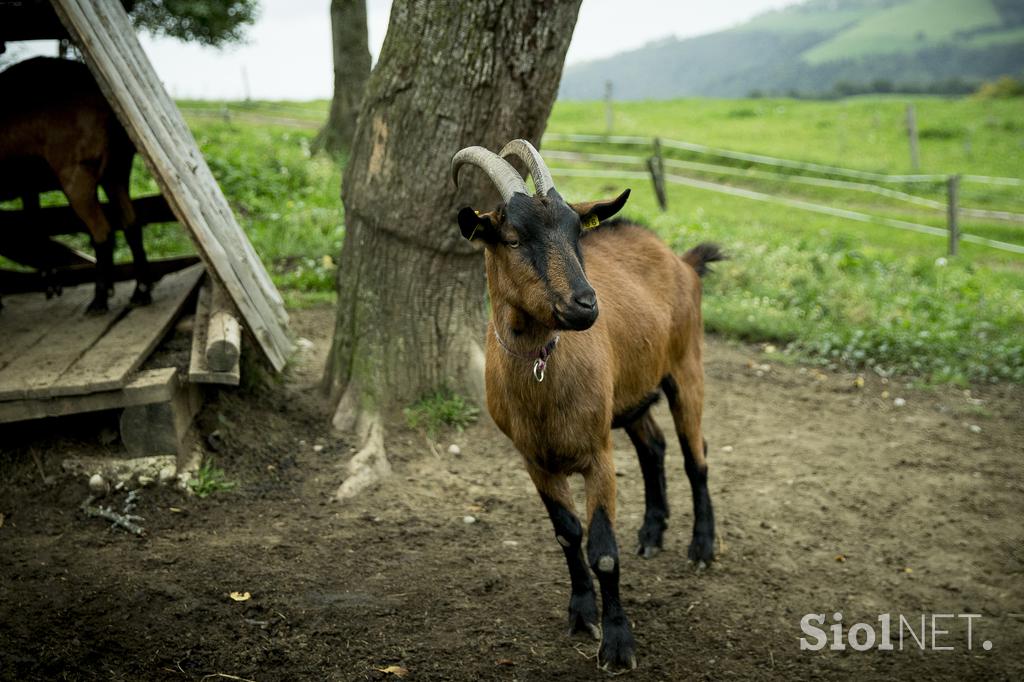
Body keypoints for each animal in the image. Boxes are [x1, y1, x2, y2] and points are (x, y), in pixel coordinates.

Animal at [0, 56, 150, 311]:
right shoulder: (29, 188)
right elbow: (36, 227)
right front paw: (50, 281)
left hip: (77, 176)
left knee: (102, 232)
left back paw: (99, 300)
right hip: (116, 172)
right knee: (131, 224)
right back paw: (140, 292)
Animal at [452, 138, 724, 667]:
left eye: (577, 232)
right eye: (512, 238)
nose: (584, 304)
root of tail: (680, 258)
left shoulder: (598, 455)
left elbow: (602, 549)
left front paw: (617, 644)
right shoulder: (535, 461)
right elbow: (567, 533)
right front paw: (581, 615)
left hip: (687, 367)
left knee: (695, 455)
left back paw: (701, 548)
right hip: (630, 396)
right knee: (654, 446)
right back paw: (651, 534)